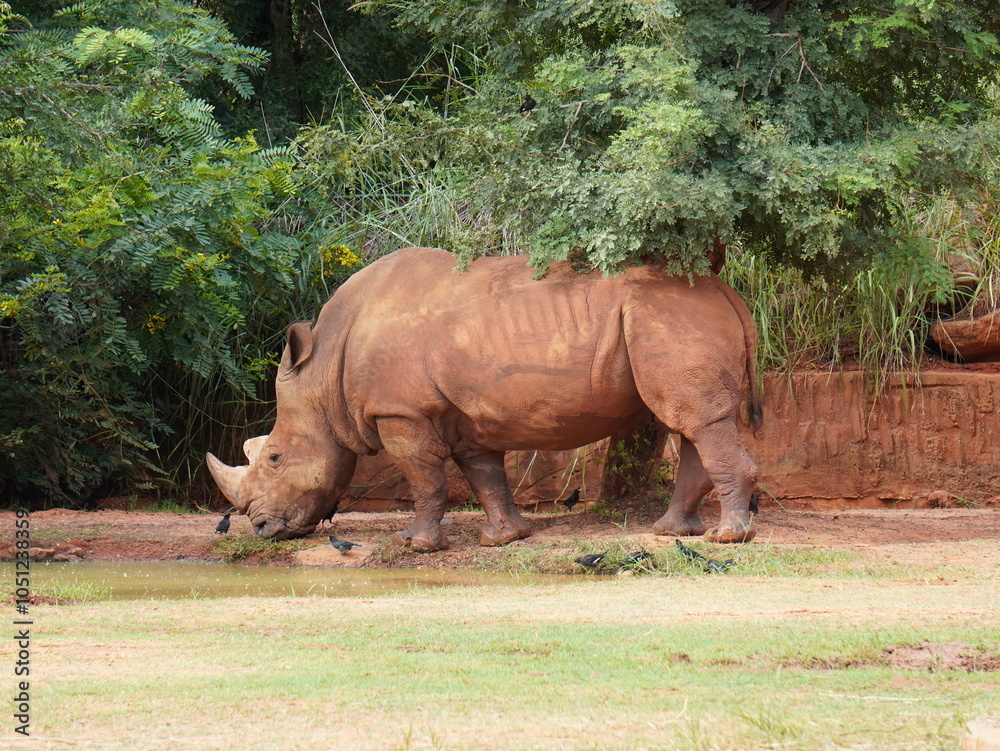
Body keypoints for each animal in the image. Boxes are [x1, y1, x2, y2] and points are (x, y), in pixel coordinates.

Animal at [207, 247, 762, 551]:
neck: (323, 375)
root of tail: (727, 293)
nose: (261, 528)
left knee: (697, 421)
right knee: (693, 424)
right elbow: (484, 474)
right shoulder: (464, 415)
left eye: (275, 458)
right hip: (669, 318)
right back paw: (673, 533)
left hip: (667, 317)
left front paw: (416, 545)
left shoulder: (401, 413)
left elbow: (425, 477)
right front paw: (504, 538)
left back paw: (727, 539)